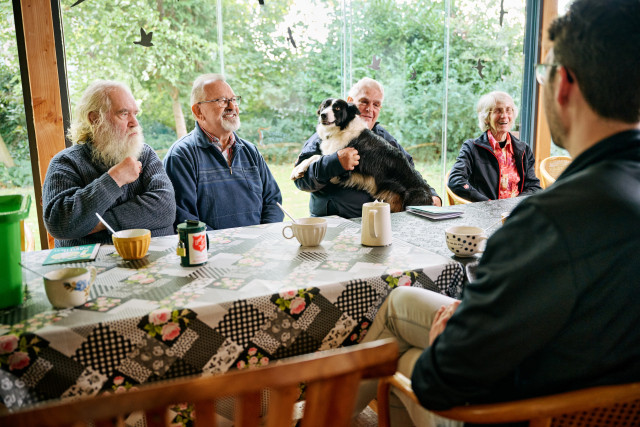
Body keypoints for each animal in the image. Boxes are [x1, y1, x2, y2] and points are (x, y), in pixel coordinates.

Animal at [292, 99, 436, 213]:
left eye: (337, 108)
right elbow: (315, 156)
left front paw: (297, 169)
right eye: (324, 106)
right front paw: (298, 169)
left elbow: (318, 157)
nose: (323, 115)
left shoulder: (344, 172)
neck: (342, 128)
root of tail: (429, 197)